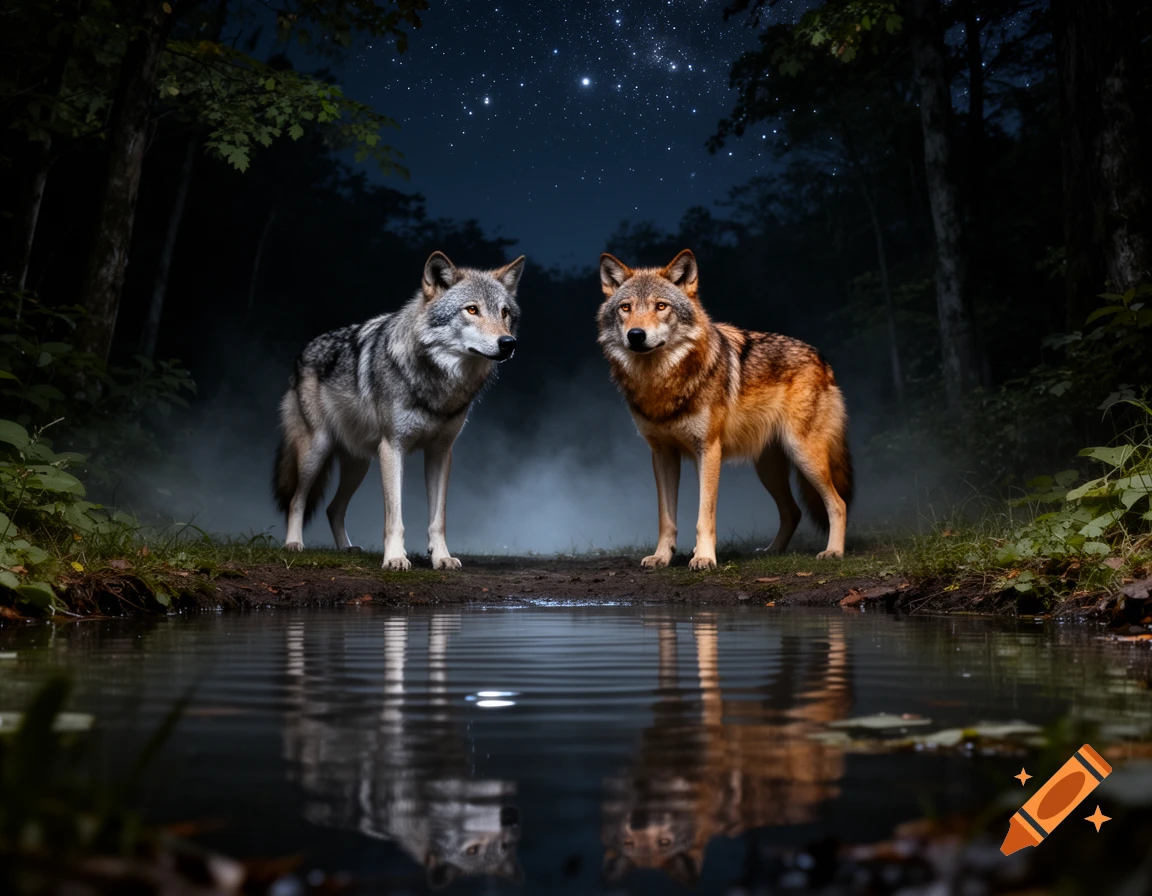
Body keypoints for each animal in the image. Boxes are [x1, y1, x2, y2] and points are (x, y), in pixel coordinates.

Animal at [273, 251, 525, 569]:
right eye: (471, 309)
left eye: (504, 313)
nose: (508, 343)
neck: (437, 384)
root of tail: (303, 351)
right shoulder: (392, 448)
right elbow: (395, 517)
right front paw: (395, 558)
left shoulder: (441, 453)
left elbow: (438, 518)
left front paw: (441, 558)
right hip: (316, 451)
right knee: (297, 499)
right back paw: (294, 544)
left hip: (360, 465)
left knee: (334, 508)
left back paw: (346, 549)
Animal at [597, 249, 853, 568]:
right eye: (626, 307)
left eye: (661, 306)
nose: (636, 334)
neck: (660, 382)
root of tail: (822, 359)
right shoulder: (662, 455)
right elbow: (666, 519)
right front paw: (662, 557)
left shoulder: (708, 450)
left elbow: (704, 515)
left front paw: (704, 557)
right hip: (768, 469)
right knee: (792, 512)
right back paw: (772, 551)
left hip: (804, 455)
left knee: (838, 504)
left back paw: (834, 551)